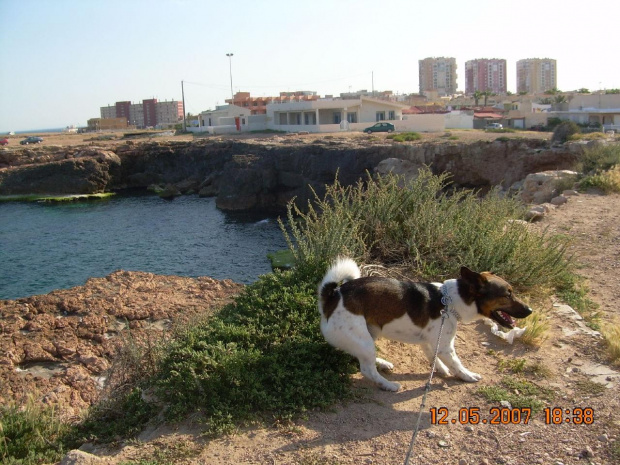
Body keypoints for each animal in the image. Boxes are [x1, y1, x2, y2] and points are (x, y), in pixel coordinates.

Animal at [318, 258, 532, 392]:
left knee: (362, 359)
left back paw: (383, 363)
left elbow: (433, 357)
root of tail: (333, 296)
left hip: (370, 334)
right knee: (367, 370)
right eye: (507, 294)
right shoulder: (446, 347)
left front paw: (441, 370)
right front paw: (467, 375)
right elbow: (457, 364)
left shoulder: (429, 342)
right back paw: (388, 385)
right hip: (363, 340)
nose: (530, 310)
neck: (451, 300)